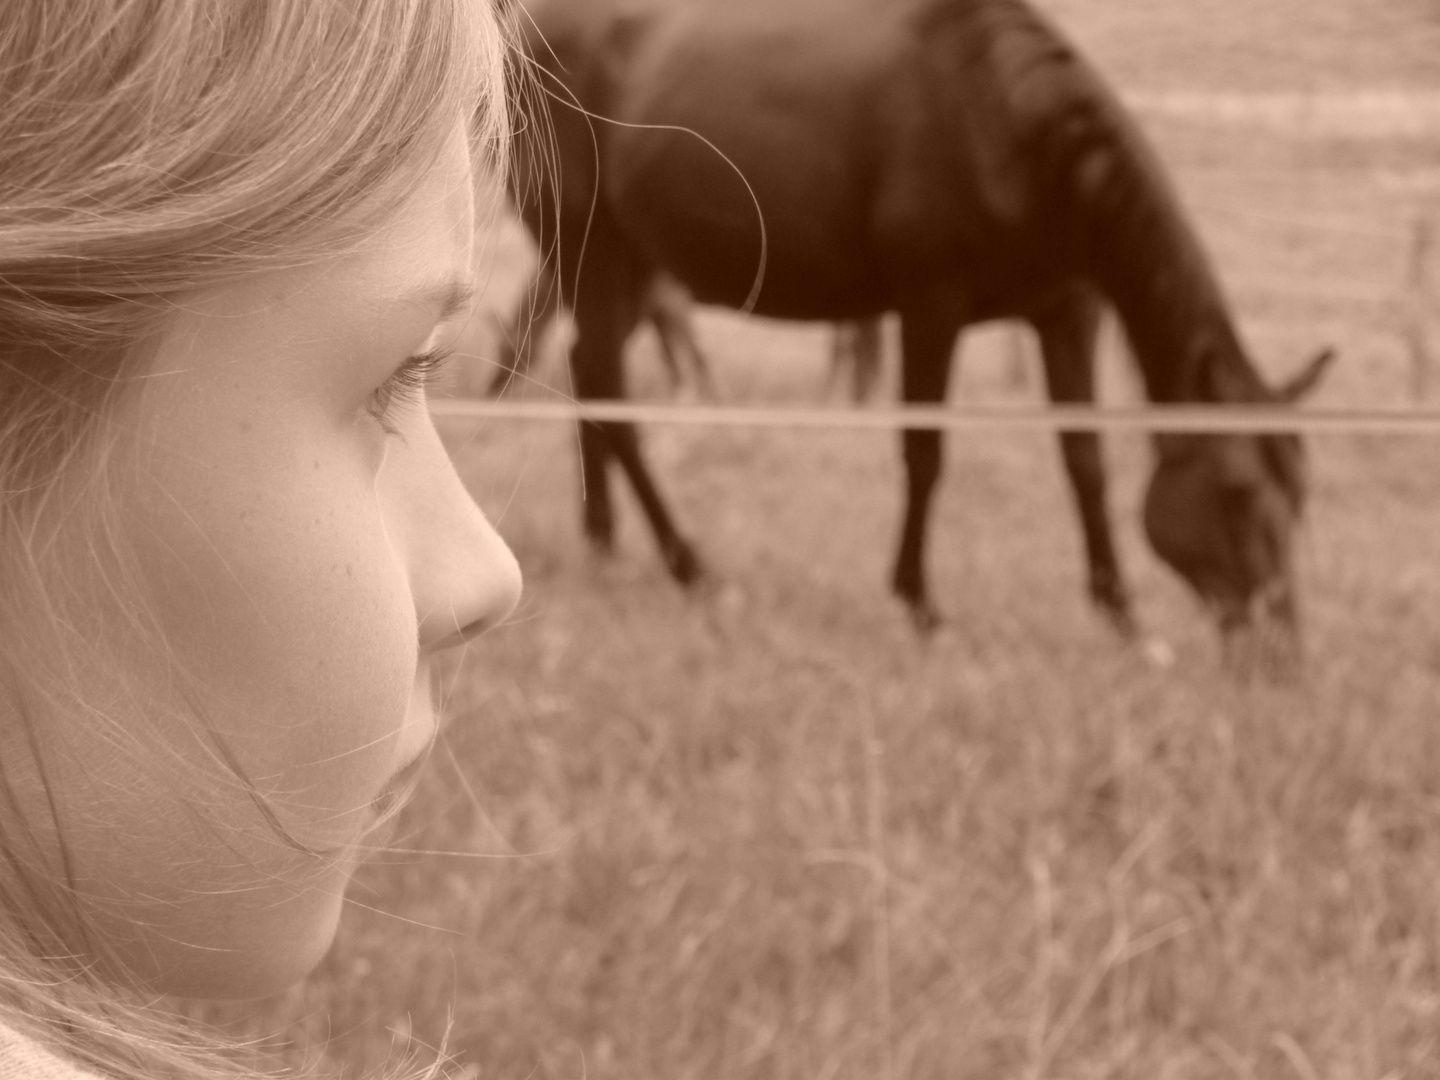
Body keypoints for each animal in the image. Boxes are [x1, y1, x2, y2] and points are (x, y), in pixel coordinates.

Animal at [512, 0, 1330, 642]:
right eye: (1237, 493)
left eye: (1299, 498)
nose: (1279, 649)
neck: (1007, 123)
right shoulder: (930, 306)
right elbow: (926, 453)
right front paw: (919, 604)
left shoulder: (1068, 313)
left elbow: (1086, 462)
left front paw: (1120, 613)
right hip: (594, 252)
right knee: (608, 387)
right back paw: (688, 563)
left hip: (630, 266)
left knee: (590, 374)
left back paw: (605, 545)